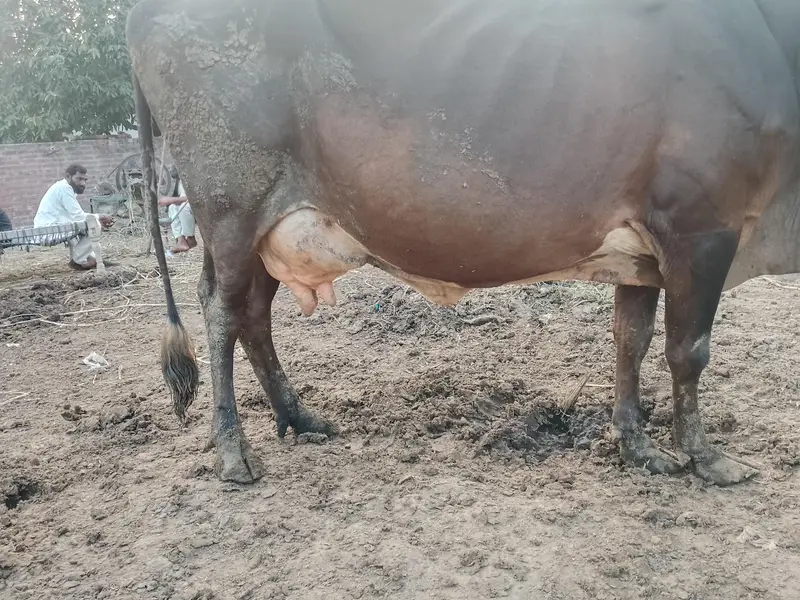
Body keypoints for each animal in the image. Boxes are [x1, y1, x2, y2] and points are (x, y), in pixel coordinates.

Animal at [126, 0, 800, 486]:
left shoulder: (641, 255)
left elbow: (630, 343)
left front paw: (640, 449)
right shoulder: (702, 226)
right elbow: (689, 352)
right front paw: (708, 459)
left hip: (272, 227)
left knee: (253, 316)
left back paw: (300, 418)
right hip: (232, 209)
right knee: (222, 314)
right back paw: (233, 453)